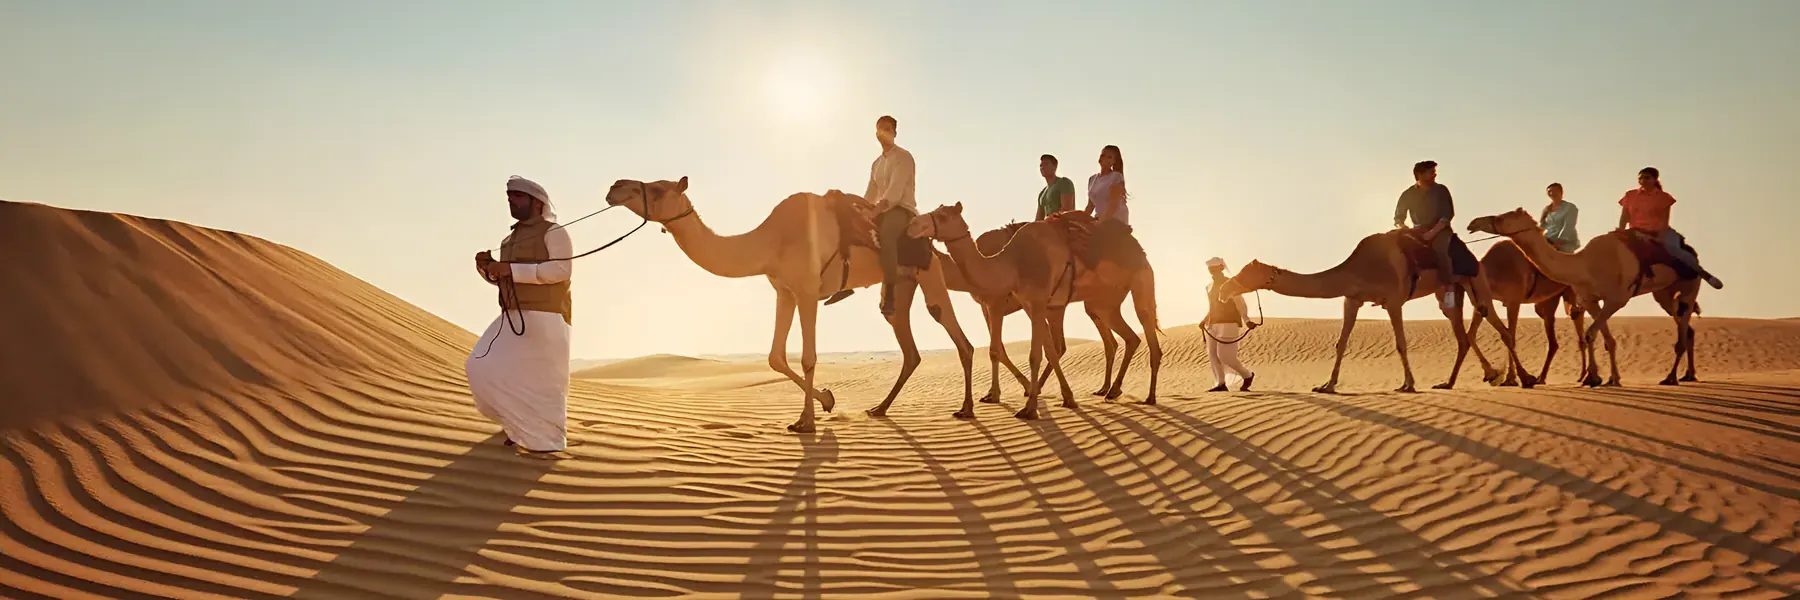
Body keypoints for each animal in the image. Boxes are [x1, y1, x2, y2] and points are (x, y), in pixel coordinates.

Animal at [603, 178, 977, 432]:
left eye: (656, 189)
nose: (615, 187)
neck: (770, 241)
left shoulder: (808, 290)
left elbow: (808, 357)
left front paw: (806, 421)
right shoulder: (783, 291)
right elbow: (774, 357)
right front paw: (828, 399)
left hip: (929, 272)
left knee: (955, 333)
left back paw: (966, 409)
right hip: (901, 285)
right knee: (908, 344)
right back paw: (879, 409)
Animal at [909, 203, 1163, 419]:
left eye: (943, 215)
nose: (913, 224)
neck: (1011, 262)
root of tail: (1138, 248)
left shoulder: (1004, 302)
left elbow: (1021, 353)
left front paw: (1027, 407)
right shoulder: (1029, 305)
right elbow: (1042, 350)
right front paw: (1063, 397)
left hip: (1139, 282)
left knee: (1146, 327)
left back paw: (1149, 397)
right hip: (1101, 303)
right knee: (1125, 338)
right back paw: (1110, 390)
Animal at [1217, 229, 1534, 394]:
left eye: (1246, 273)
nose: (1223, 290)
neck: (1359, 268)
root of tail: (1472, 255)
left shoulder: (1393, 300)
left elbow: (1401, 343)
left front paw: (1408, 384)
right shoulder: (1352, 299)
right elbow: (1341, 343)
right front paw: (1327, 385)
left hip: (1475, 281)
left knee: (1498, 325)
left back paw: (1524, 378)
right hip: (1450, 291)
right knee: (1462, 335)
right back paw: (1458, 380)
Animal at [1463, 239, 1592, 386]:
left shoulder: (1513, 301)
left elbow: (1510, 336)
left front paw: (1517, 378)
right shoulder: (1484, 301)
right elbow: (1471, 334)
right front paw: (1493, 375)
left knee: (1577, 316)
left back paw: (1584, 375)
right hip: (1552, 299)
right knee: (1565, 325)